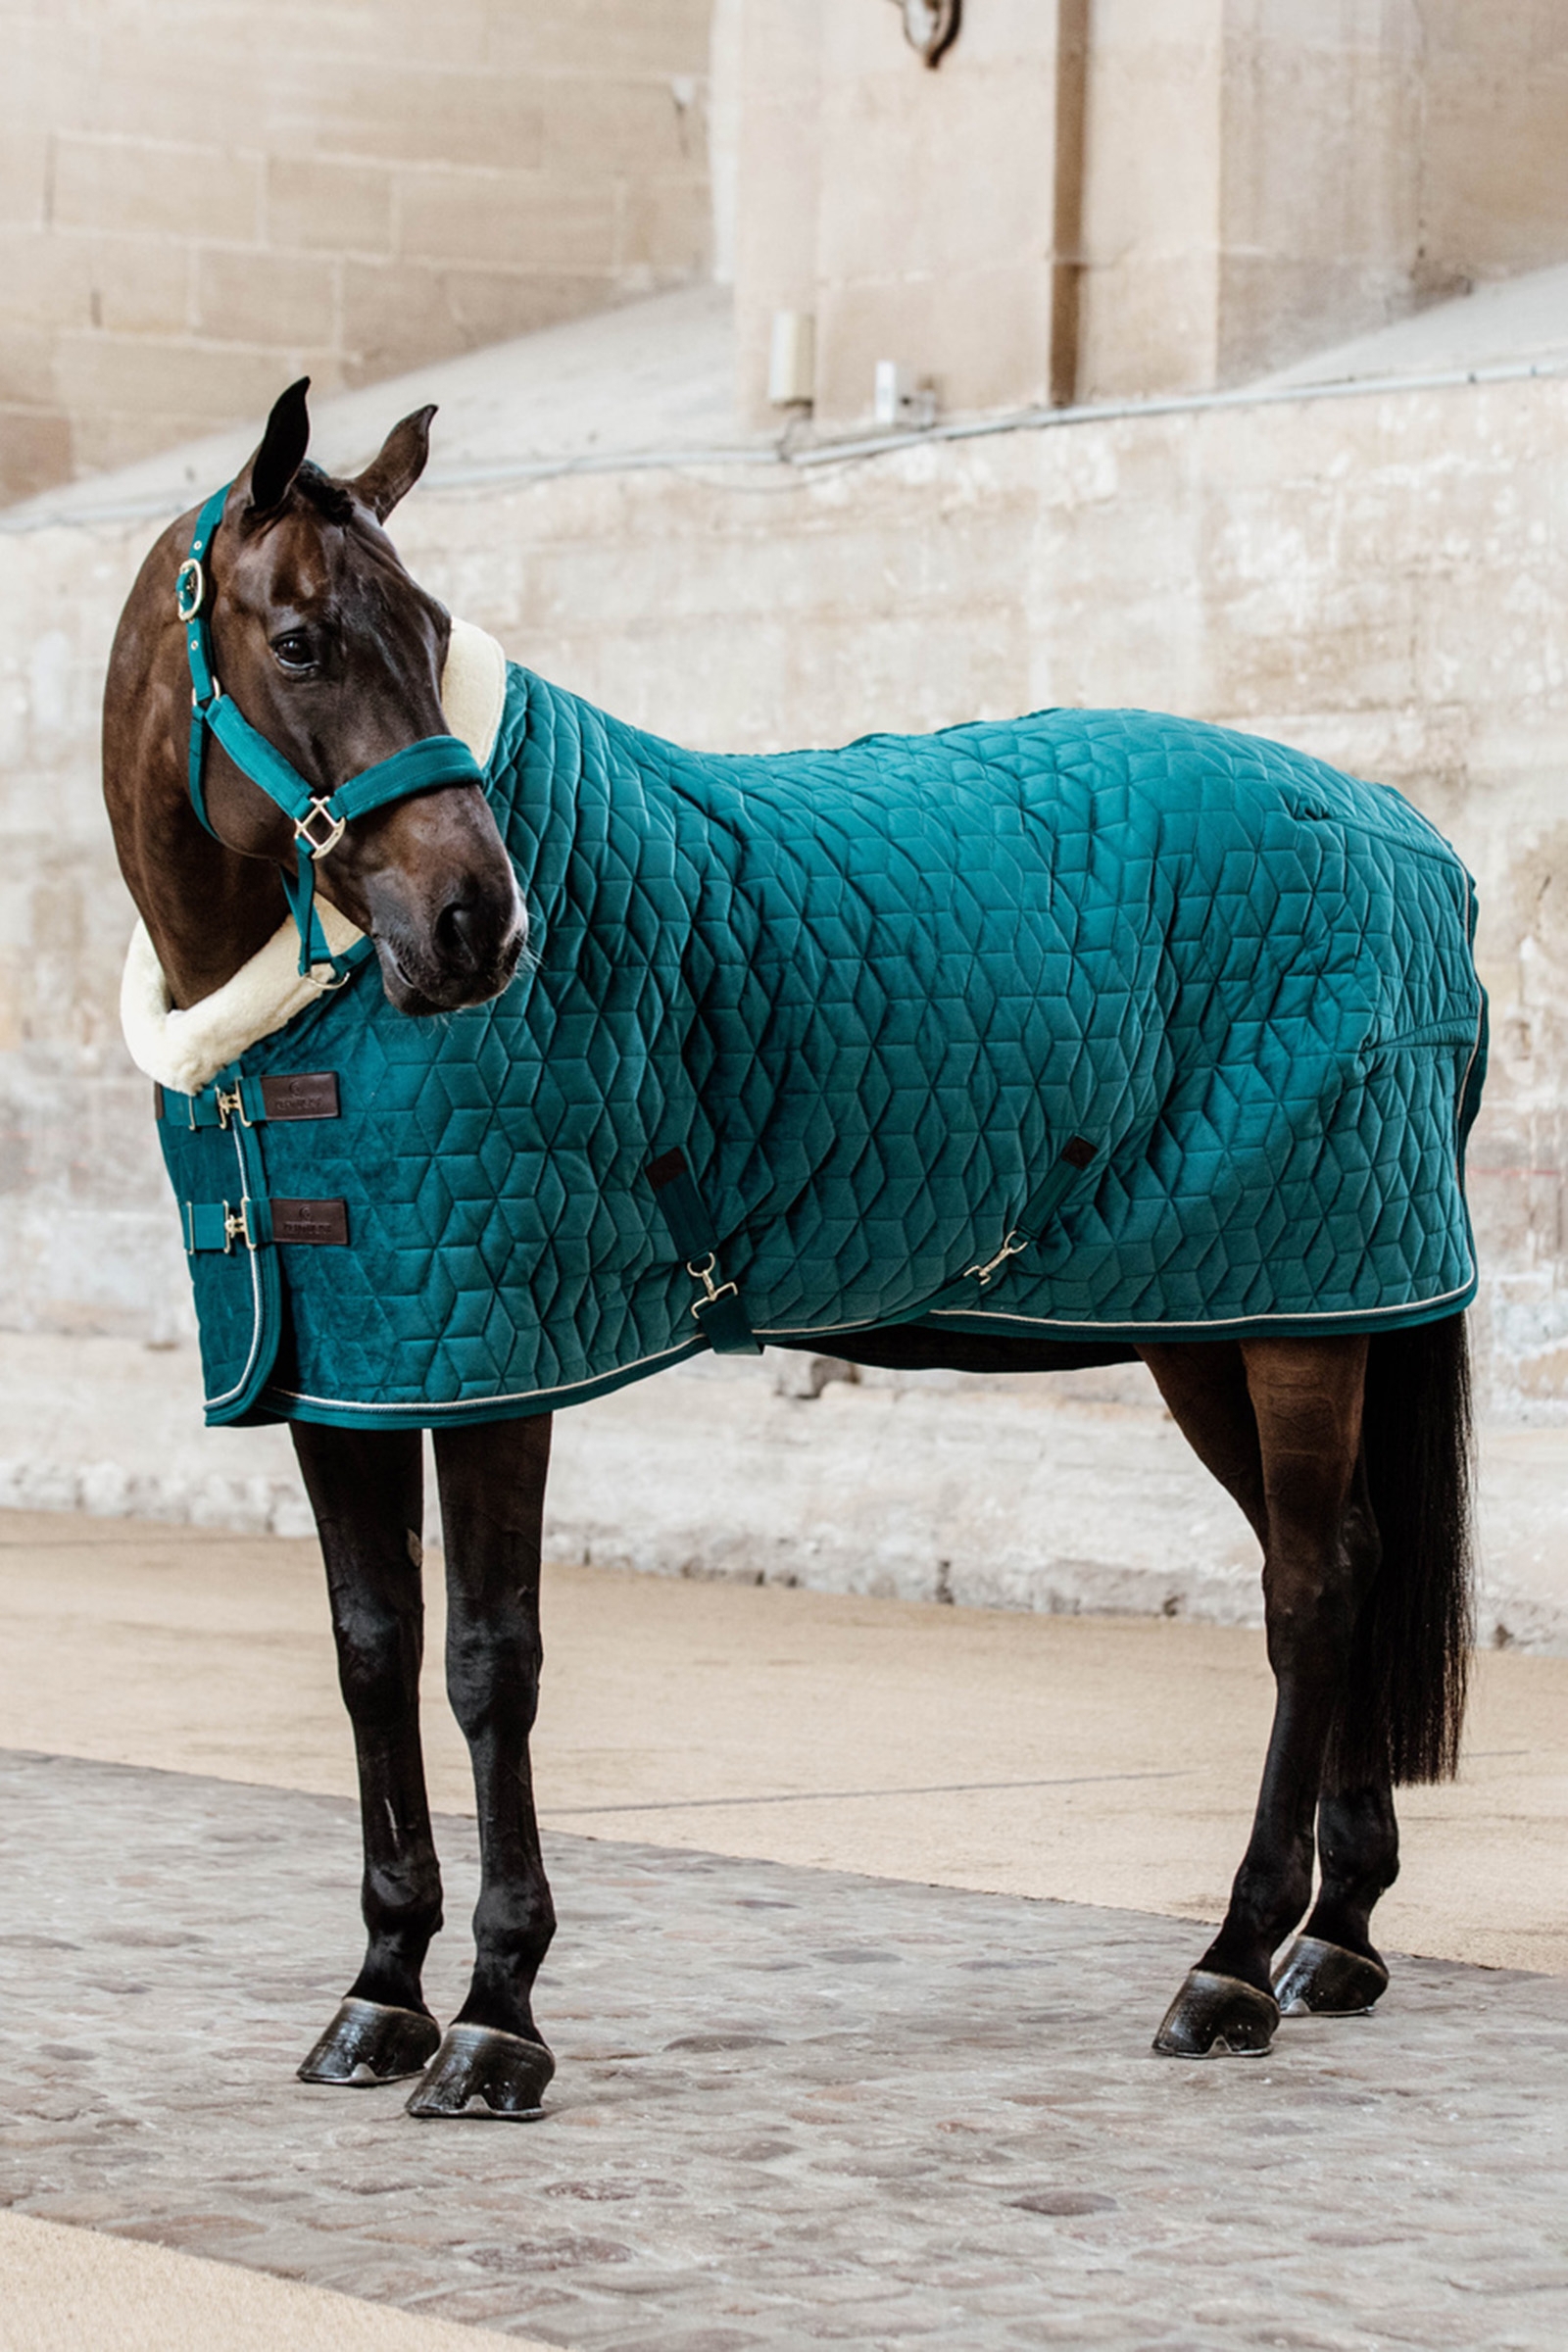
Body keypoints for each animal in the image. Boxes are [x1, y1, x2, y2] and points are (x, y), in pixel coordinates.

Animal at [102, 380, 1479, 2120]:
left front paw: (495, 2017)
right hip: (1227, 1311)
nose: (482, 925)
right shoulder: (349, 1371)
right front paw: (378, 1994)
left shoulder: (494, 1367)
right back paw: (1336, 1937)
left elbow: (489, 1665)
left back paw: (1231, 1964)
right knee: (1351, 1562)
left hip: (1306, 1303)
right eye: (298, 642)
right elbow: (371, 1655)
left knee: (1307, 1590)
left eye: (430, 631)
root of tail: (1406, 833)